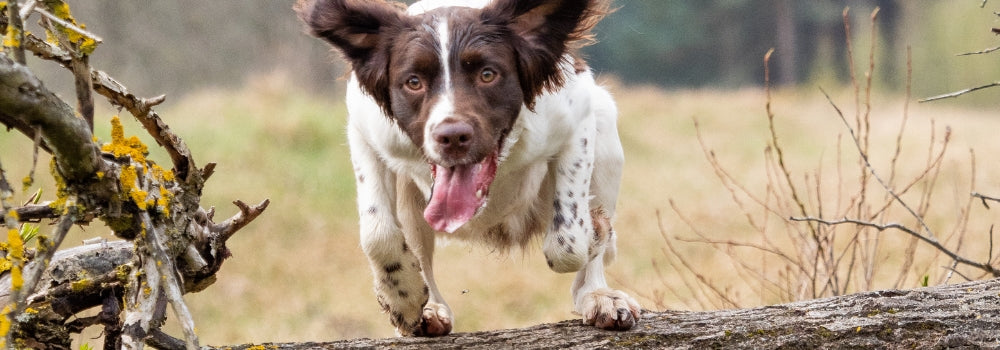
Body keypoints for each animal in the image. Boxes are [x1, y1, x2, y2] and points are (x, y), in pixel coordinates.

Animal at [294, 0, 640, 334]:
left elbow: (569, 241)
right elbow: (377, 232)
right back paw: (430, 308)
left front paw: (596, 232)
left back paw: (599, 297)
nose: (452, 136)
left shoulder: (577, 117)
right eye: (413, 82)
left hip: (607, 135)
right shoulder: (367, 133)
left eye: (487, 74)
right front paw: (403, 298)